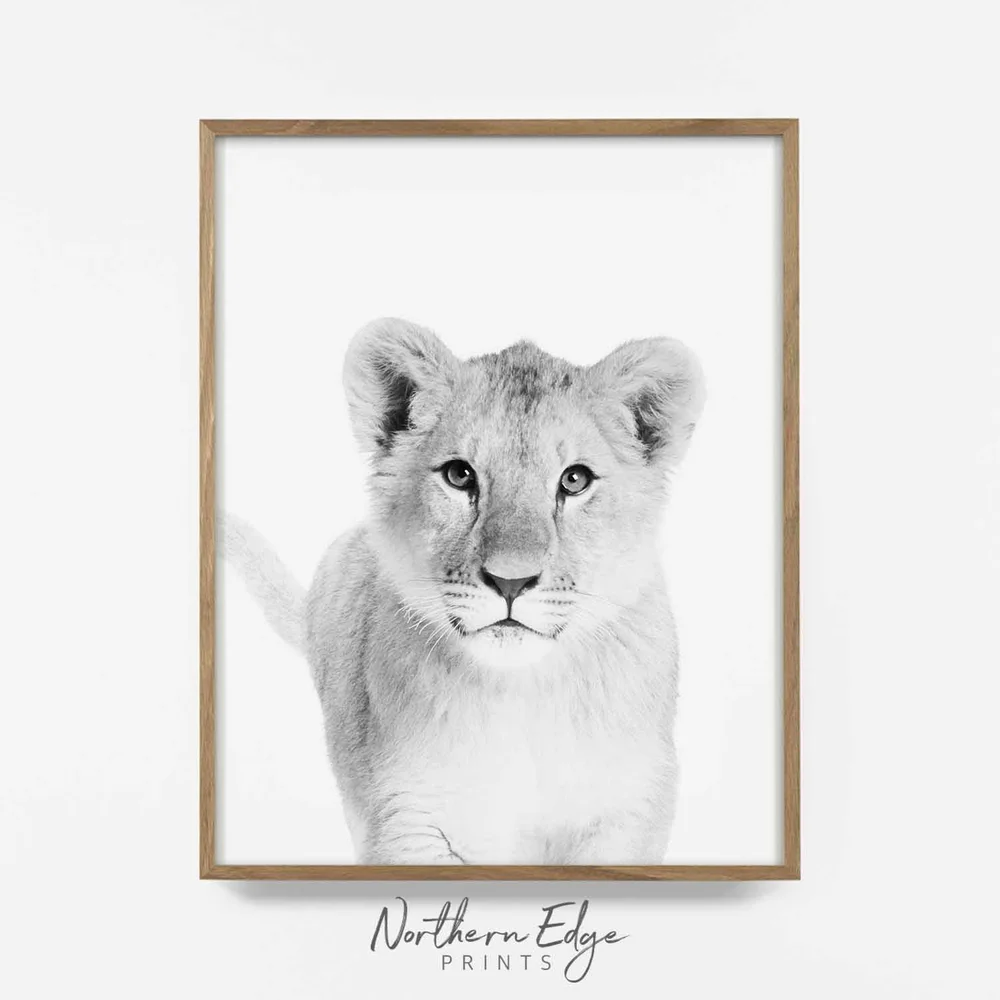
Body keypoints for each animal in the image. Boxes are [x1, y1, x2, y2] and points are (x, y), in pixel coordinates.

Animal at [223, 317, 705, 864]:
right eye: (459, 475)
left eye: (574, 480)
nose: (510, 581)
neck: (523, 694)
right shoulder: (406, 818)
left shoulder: (630, 808)